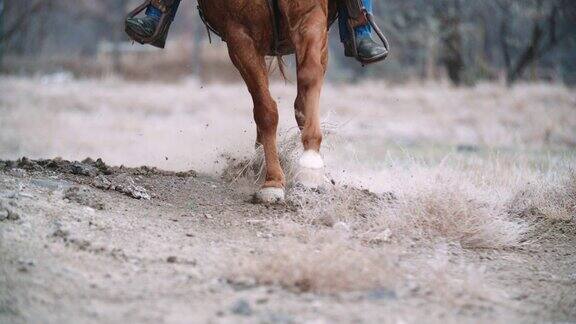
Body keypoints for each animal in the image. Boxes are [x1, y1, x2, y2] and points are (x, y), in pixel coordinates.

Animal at [201, 0, 338, 202]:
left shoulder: (310, 12)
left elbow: (310, 76)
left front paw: (311, 164)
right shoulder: (239, 34)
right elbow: (265, 109)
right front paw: (272, 180)